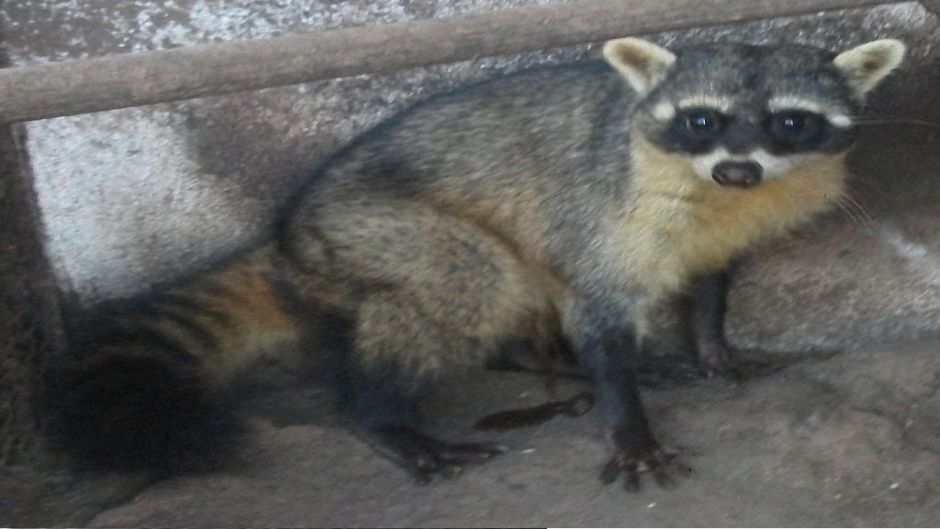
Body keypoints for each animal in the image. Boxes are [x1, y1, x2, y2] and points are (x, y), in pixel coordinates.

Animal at [44, 37, 904, 488]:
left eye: (791, 122)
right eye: (703, 120)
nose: (737, 169)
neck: (720, 198)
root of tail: (288, 238)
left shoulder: (727, 224)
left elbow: (713, 280)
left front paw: (713, 341)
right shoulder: (610, 211)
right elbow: (599, 312)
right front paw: (627, 419)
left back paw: (527, 354)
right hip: (377, 229)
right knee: (467, 277)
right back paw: (386, 413)